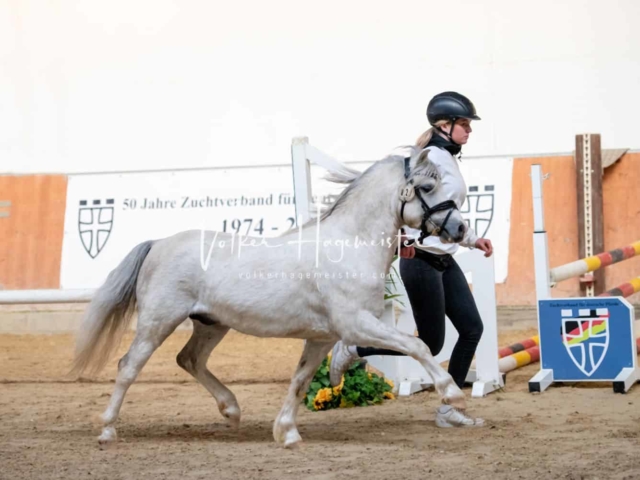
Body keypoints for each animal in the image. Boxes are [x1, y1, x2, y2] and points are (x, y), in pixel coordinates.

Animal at [75, 145, 472, 446]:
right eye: (427, 186)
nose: (460, 228)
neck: (350, 245)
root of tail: (159, 243)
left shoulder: (322, 337)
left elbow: (299, 381)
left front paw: (287, 433)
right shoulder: (356, 325)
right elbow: (417, 345)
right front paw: (452, 394)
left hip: (211, 323)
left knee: (189, 359)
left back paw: (231, 410)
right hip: (158, 321)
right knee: (128, 366)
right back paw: (108, 430)